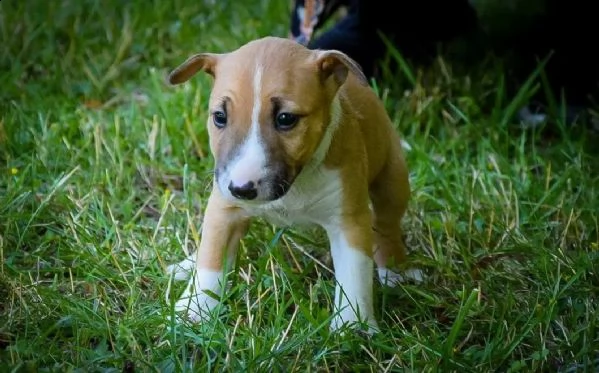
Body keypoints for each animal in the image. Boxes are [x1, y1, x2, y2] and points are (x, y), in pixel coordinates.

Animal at [166, 35, 424, 332]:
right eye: (219, 116)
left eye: (286, 119)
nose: (242, 190)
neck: (297, 180)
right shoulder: (224, 208)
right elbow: (211, 261)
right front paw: (194, 309)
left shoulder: (349, 219)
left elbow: (354, 274)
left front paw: (353, 326)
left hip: (392, 179)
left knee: (387, 224)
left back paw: (395, 271)